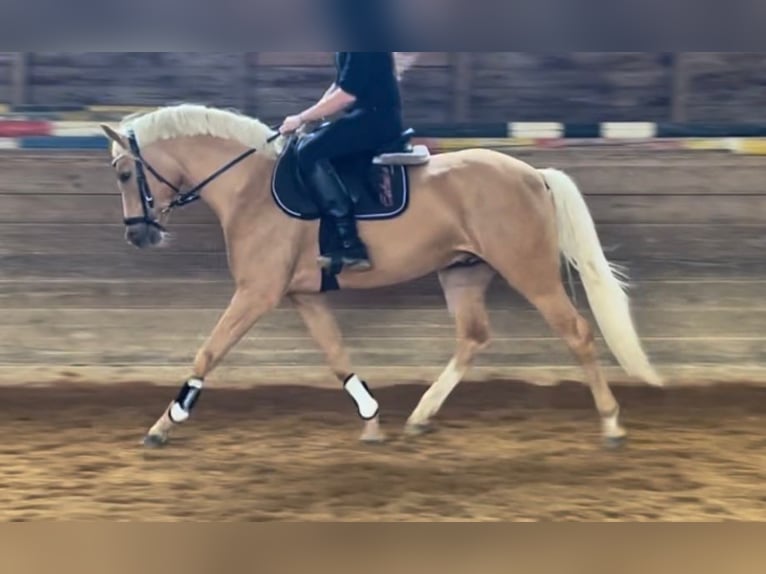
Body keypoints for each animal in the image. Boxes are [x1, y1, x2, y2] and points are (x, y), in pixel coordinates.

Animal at [99, 103, 662, 449]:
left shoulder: (257, 293)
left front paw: (164, 425)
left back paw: (612, 425)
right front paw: (371, 422)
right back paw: (420, 416)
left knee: (577, 333)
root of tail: (533, 175)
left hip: (530, 271)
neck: (248, 187)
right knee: (473, 338)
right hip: (463, 272)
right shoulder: (303, 295)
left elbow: (208, 352)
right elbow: (335, 355)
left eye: (126, 173)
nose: (138, 235)